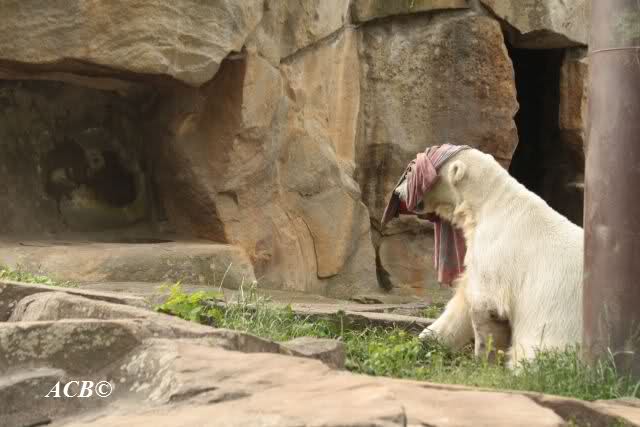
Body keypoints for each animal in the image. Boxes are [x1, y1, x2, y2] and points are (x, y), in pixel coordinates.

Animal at [395, 147, 583, 368]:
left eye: (412, 172)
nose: (398, 192)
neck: (488, 205)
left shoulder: (496, 251)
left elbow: (486, 305)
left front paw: (484, 362)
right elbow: (461, 302)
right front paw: (425, 342)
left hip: (558, 327)